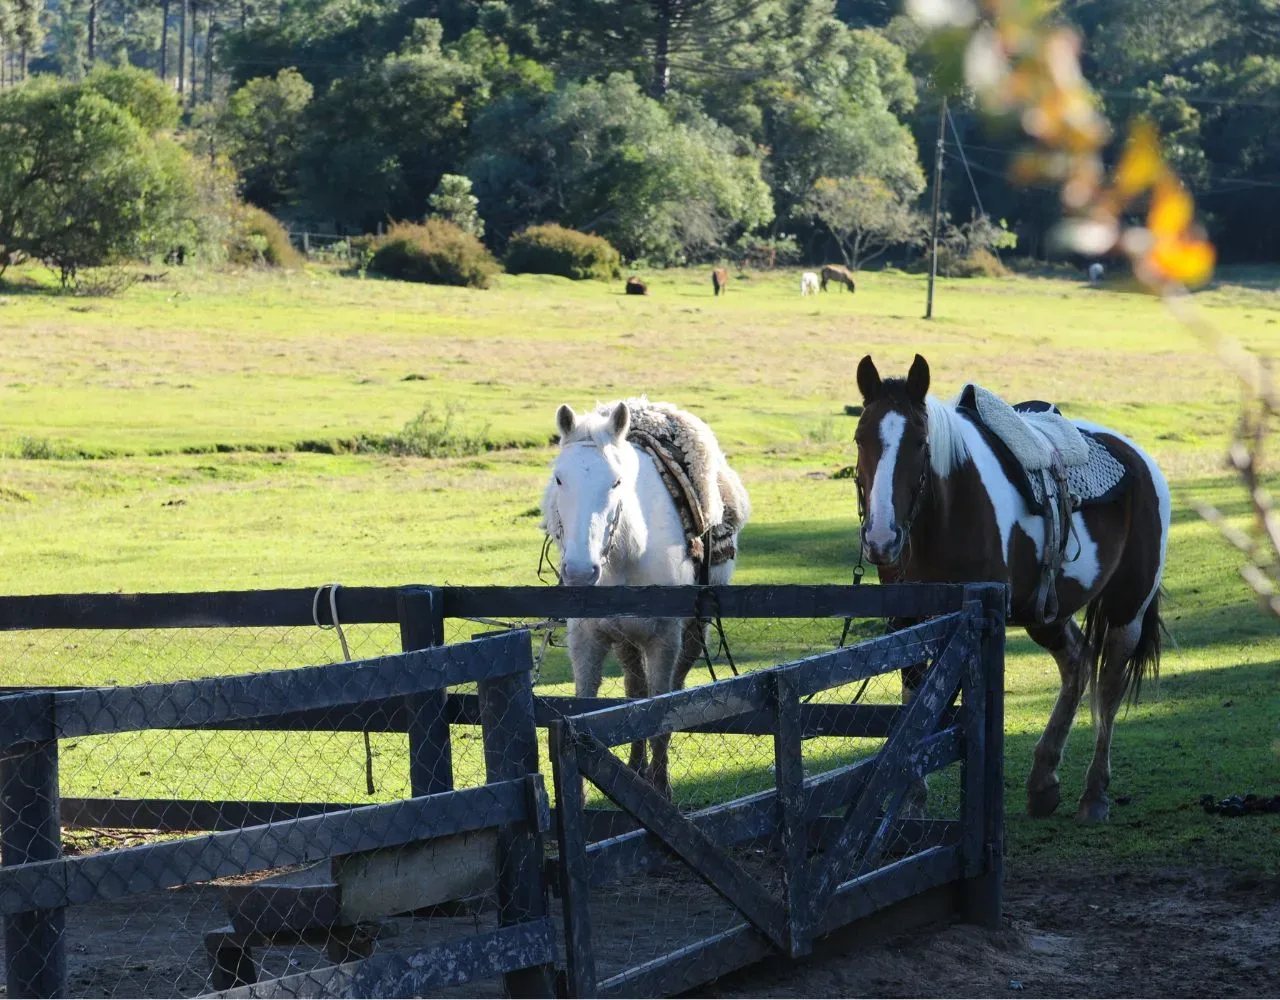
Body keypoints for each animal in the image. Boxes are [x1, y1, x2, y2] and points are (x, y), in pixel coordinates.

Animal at [542, 399, 750, 797]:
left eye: (616, 481)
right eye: (559, 478)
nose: (580, 572)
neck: (627, 554)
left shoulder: (664, 640)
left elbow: (661, 711)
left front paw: (661, 788)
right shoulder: (587, 638)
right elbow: (587, 706)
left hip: (693, 630)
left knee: (672, 689)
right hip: (626, 639)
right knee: (633, 692)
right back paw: (635, 768)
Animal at [852, 354, 1169, 822]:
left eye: (921, 443)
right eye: (860, 438)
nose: (880, 538)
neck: (945, 514)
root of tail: (1141, 459)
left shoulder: (978, 620)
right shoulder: (907, 619)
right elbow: (915, 702)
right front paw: (911, 801)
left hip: (1127, 608)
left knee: (1109, 684)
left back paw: (1094, 795)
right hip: (1048, 613)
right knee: (1077, 663)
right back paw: (1043, 783)